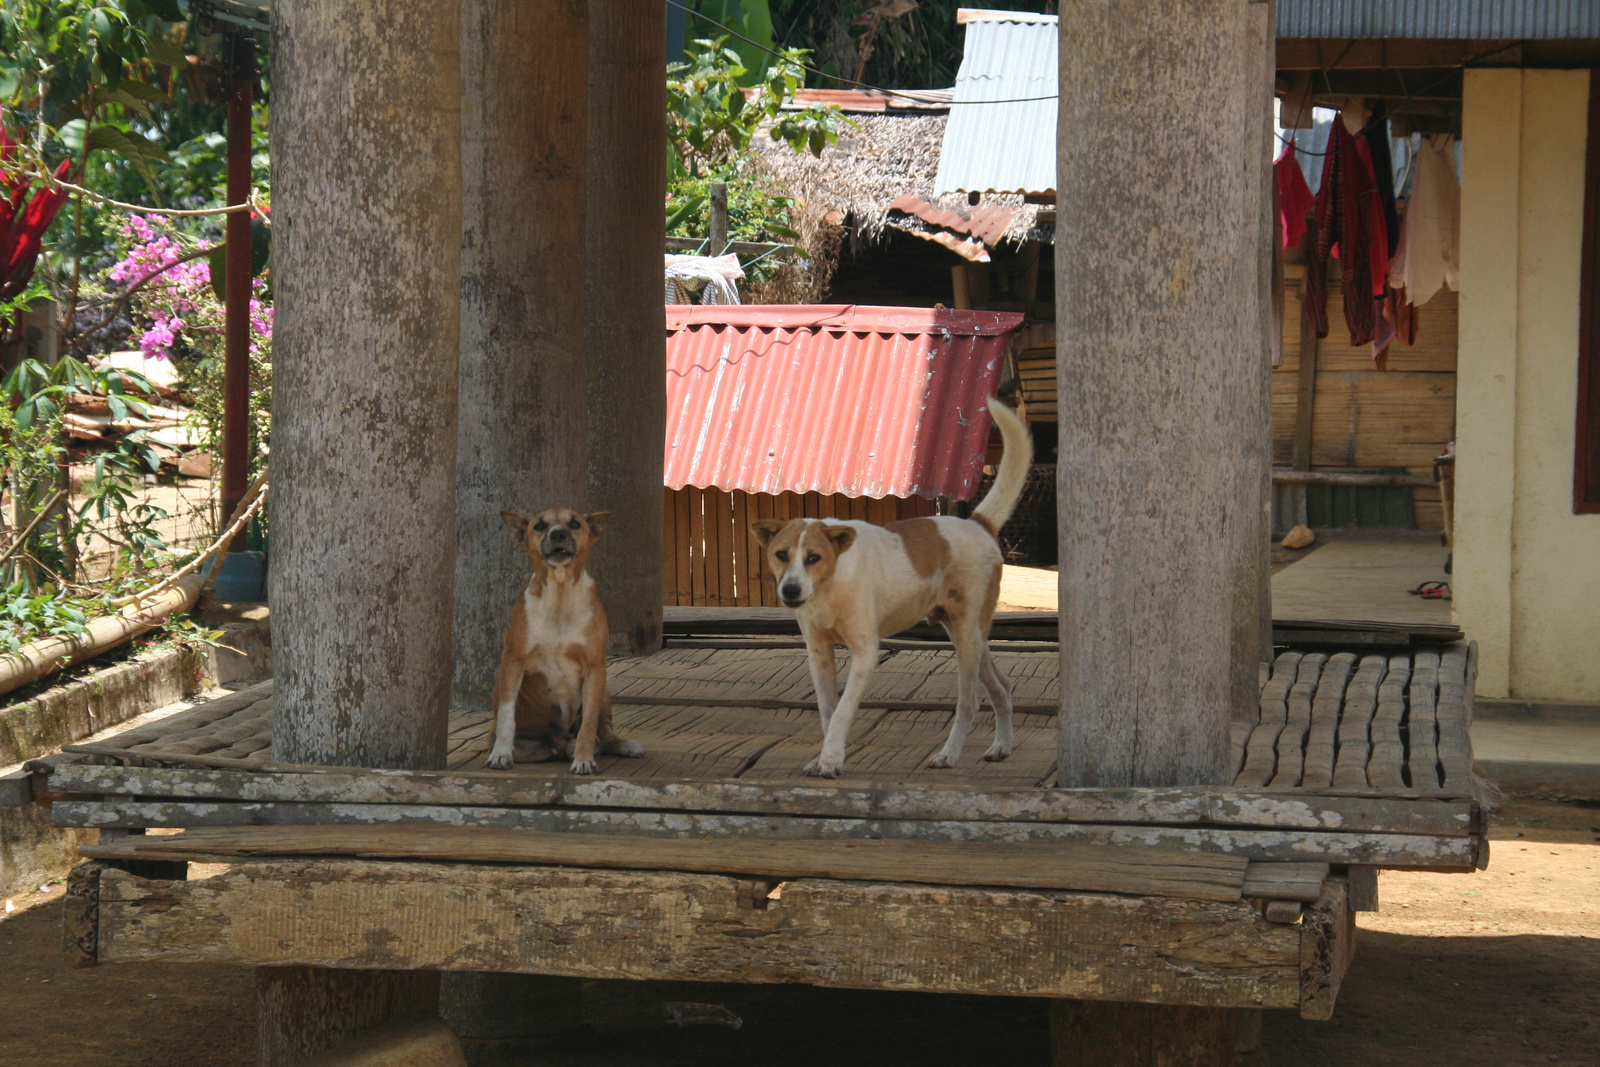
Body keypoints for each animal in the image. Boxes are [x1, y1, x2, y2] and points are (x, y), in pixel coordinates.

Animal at [480, 508, 643, 777]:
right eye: (539, 525)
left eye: (575, 524)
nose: (557, 534)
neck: (560, 594)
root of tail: (559, 739)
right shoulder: (512, 663)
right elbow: (506, 716)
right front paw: (501, 754)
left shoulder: (594, 669)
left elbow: (588, 724)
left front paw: (584, 760)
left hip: (604, 692)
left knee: (604, 734)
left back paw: (620, 745)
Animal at [752, 396, 1030, 780]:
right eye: (780, 554)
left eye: (813, 558)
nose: (791, 591)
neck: (829, 588)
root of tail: (978, 523)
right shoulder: (818, 652)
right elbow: (828, 710)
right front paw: (824, 757)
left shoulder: (865, 653)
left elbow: (842, 711)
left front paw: (831, 760)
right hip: (968, 633)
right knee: (1001, 687)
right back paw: (1001, 746)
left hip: (966, 636)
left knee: (970, 703)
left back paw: (949, 754)